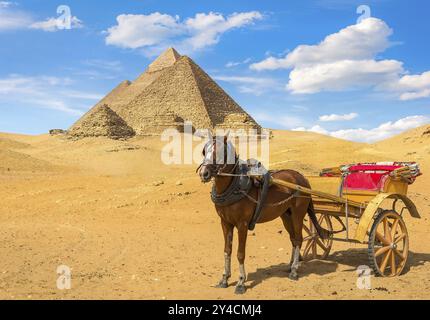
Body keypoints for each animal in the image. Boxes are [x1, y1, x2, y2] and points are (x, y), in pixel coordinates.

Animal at [197, 134, 330, 294]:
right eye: (204, 151)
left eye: (221, 152)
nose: (204, 173)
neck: (234, 186)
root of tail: (303, 179)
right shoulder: (225, 222)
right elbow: (227, 250)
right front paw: (224, 279)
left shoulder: (242, 224)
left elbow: (240, 253)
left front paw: (241, 282)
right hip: (286, 215)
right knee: (293, 238)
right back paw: (290, 265)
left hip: (298, 214)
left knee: (298, 239)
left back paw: (294, 270)